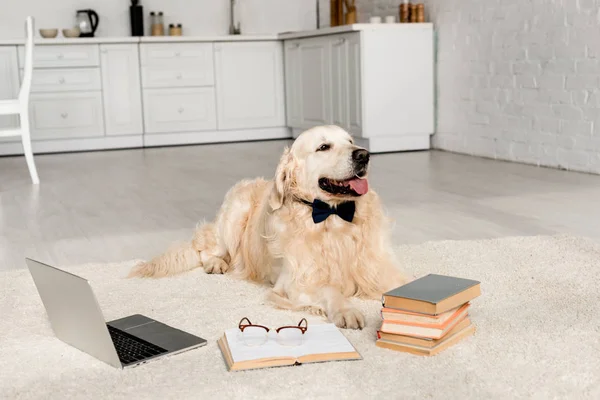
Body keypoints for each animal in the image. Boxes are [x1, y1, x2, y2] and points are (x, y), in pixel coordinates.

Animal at [128, 125, 406, 328]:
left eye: (350, 141)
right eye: (323, 147)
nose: (363, 154)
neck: (332, 216)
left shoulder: (379, 271)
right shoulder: (294, 282)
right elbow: (330, 290)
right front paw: (347, 310)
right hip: (234, 216)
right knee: (205, 248)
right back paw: (216, 263)